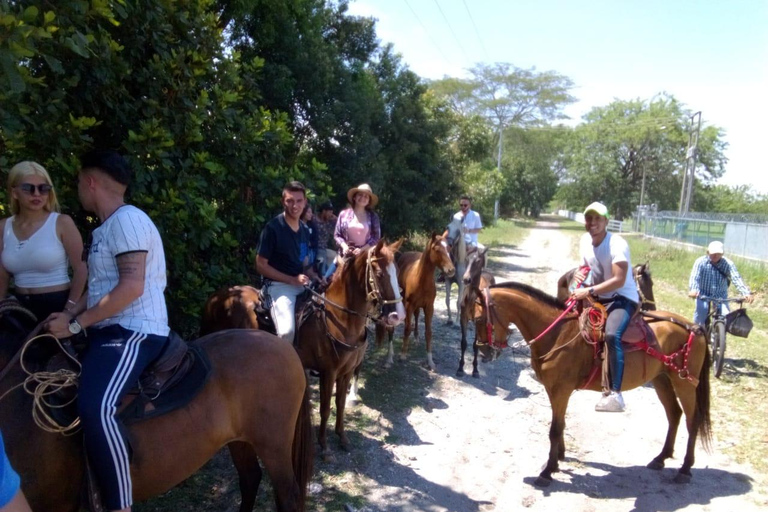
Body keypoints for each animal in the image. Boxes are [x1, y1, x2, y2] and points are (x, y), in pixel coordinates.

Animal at [204, 240, 408, 460]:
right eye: (379, 273)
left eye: (396, 271)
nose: (398, 316)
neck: (338, 318)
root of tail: (216, 296)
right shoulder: (329, 373)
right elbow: (326, 408)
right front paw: (324, 446)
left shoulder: (345, 373)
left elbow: (341, 404)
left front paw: (342, 437)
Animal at [378, 234, 456, 370]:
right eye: (437, 249)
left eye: (449, 248)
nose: (451, 270)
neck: (422, 280)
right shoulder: (409, 305)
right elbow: (407, 328)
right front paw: (403, 354)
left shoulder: (429, 307)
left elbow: (428, 332)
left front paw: (430, 360)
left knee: (417, 315)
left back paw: (416, 337)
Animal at [474, 284, 712, 488]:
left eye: (478, 318)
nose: (484, 350)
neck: (557, 332)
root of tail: (695, 328)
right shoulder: (554, 391)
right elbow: (560, 425)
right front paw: (557, 460)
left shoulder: (561, 391)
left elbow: (555, 429)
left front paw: (548, 471)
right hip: (661, 379)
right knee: (674, 414)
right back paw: (661, 458)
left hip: (684, 383)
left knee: (692, 421)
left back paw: (685, 469)